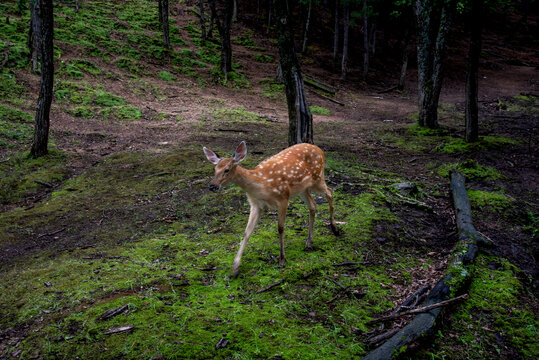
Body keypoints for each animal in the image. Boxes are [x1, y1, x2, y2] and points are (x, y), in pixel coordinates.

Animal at [202, 140, 338, 276]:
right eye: (215, 169)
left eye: (226, 169)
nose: (212, 186)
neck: (261, 185)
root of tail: (320, 150)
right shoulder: (255, 205)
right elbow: (247, 232)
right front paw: (235, 266)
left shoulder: (283, 197)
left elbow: (280, 228)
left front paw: (282, 259)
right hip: (303, 188)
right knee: (313, 205)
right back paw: (309, 242)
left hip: (318, 177)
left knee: (330, 192)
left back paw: (334, 228)